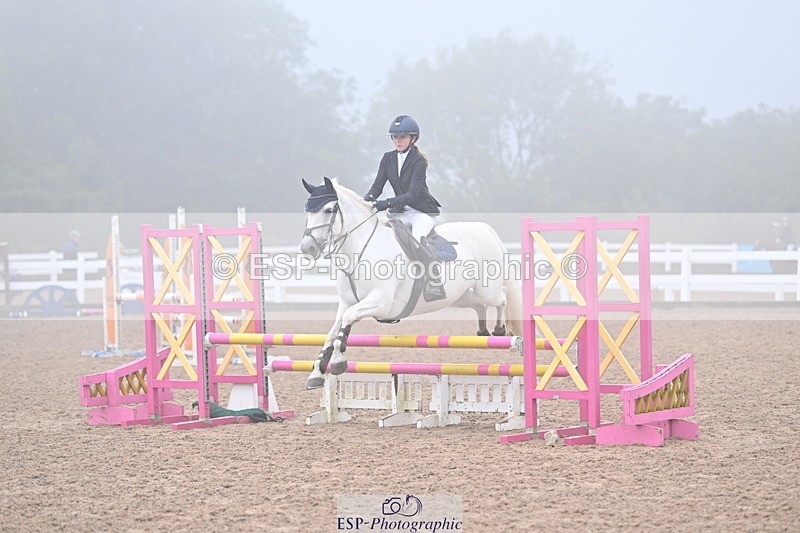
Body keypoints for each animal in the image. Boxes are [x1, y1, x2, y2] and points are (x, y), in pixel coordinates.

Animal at [299, 177, 522, 389]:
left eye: (328, 210)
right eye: (307, 211)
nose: (307, 248)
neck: (362, 249)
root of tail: (484, 228)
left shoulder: (381, 303)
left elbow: (348, 319)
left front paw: (338, 362)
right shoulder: (346, 302)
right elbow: (332, 333)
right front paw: (316, 374)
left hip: (487, 289)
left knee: (501, 298)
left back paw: (500, 330)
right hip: (459, 297)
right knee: (480, 305)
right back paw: (483, 332)